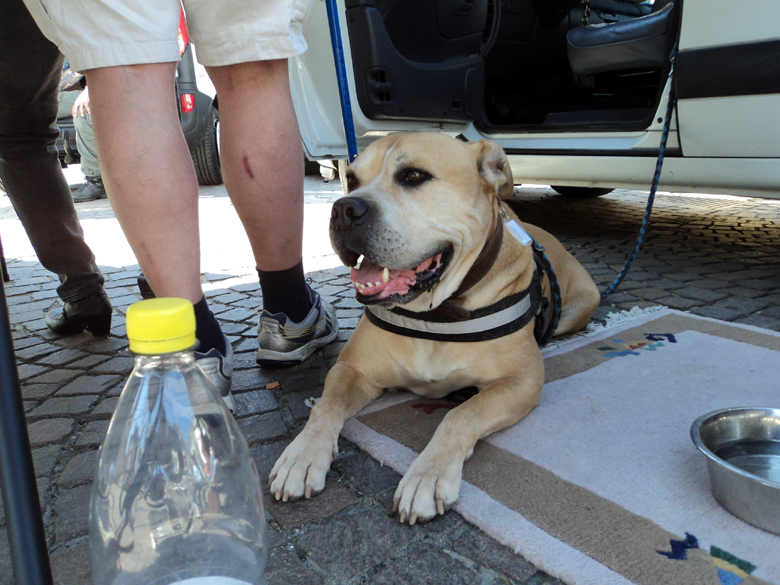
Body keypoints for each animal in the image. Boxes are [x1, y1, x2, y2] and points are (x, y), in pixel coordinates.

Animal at [270, 133, 600, 524]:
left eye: (414, 176)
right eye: (351, 179)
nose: (343, 209)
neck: (437, 312)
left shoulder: (520, 382)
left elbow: (461, 414)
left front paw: (427, 476)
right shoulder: (352, 369)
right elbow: (326, 405)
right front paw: (302, 455)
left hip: (579, 307)